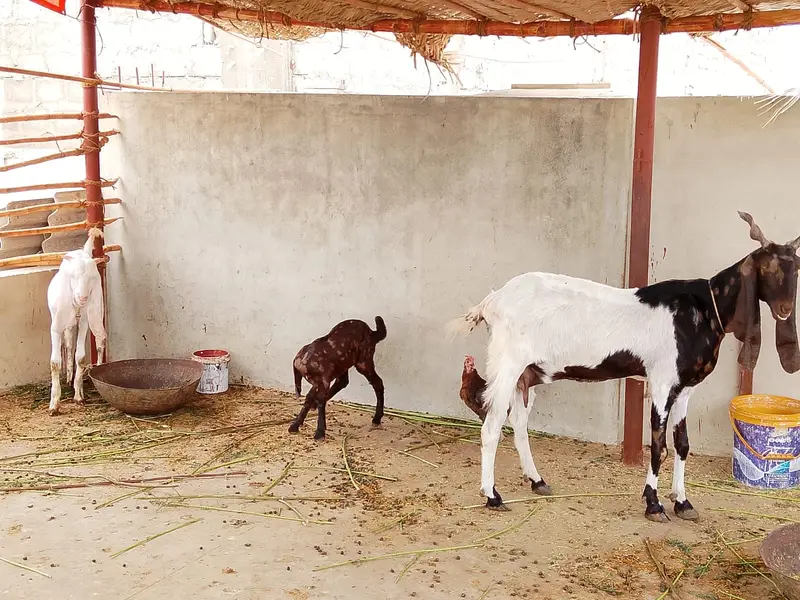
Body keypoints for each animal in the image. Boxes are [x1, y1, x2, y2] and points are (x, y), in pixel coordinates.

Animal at [47, 228, 107, 416]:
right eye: (73, 276)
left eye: (93, 277)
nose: (82, 298)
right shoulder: (56, 325)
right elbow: (55, 362)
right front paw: (54, 404)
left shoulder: (84, 323)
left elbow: (80, 357)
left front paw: (79, 395)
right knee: (68, 342)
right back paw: (68, 376)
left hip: (95, 313)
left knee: (99, 338)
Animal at [448, 211, 800, 522]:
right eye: (767, 268)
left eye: (796, 268)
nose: (785, 310)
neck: (704, 308)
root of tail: (491, 301)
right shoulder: (661, 382)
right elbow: (658, 446)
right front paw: (654, 504)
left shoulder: (685, 388)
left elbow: (683, 445)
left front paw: (683, 503)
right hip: (507, 364)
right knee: (492, 426)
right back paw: (493, 497)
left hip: (527, 373)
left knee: (519, 423)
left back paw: (537, 481)